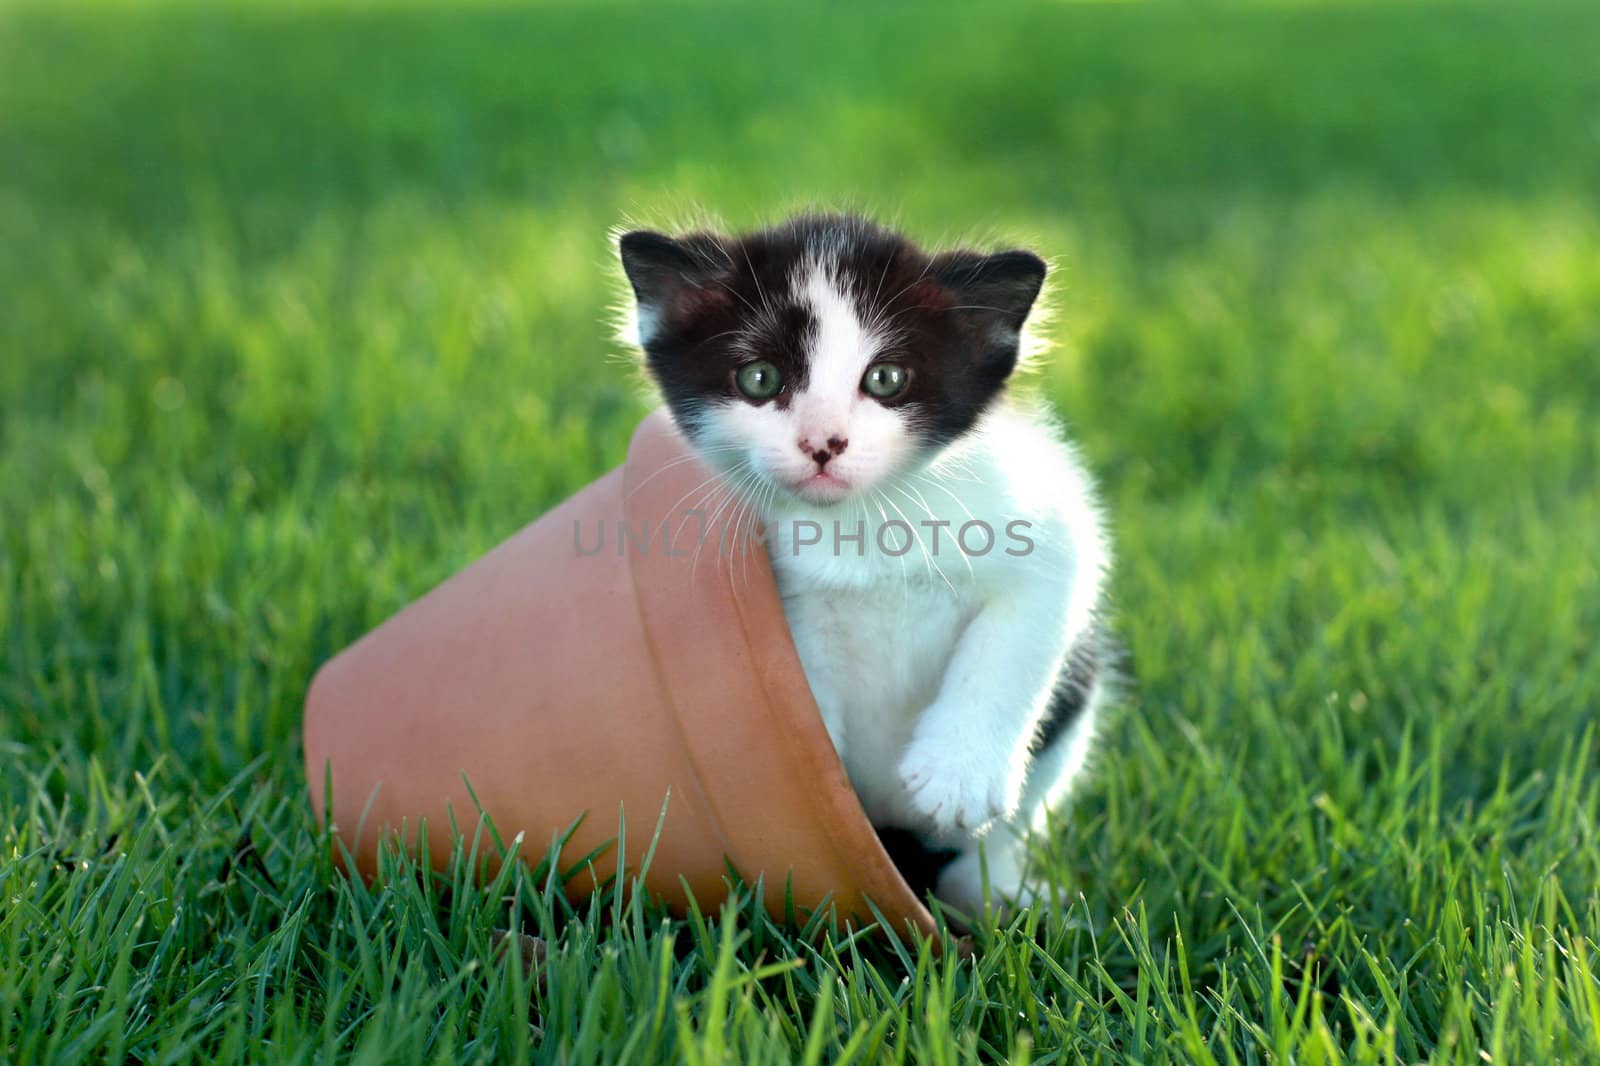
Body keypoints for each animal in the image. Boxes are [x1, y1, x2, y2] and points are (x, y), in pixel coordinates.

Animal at [614, 216, 1113, 915]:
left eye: (885, 379)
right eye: (760, 379)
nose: (823, 443)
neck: (862, 525)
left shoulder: (1049, 525)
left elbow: (1017, 636)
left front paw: (958, 775)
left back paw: (999, 895)